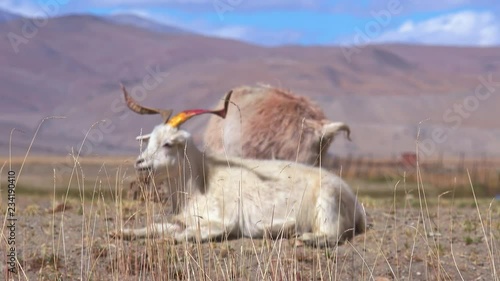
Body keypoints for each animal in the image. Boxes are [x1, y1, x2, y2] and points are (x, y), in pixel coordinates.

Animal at [115, 85, 366, 245]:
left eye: (168, 143)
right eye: (150, 141)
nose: (140, 163)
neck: (200, 181)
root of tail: (356, 204)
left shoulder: (224, 222)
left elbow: (189, 234)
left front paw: (169, 239)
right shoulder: (181, 220)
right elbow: (156, 227)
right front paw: (122, 233)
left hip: (327, 207)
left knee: (333, 235)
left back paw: (304, 238)